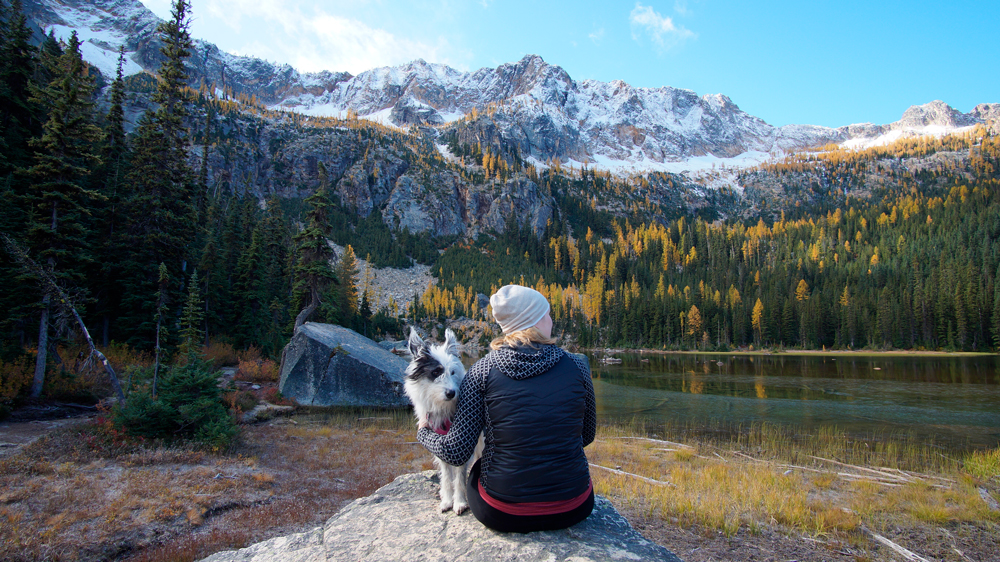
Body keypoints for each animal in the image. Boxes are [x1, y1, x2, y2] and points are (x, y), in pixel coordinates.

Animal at [402, 328, 472, 512]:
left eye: (452, 372)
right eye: (435, 372)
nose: (451, 393)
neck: (444, 409)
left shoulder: (459, 447)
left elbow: (459, 478)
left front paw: (460, 501)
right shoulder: (441, 445)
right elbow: (447, 477)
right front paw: (447, 500)